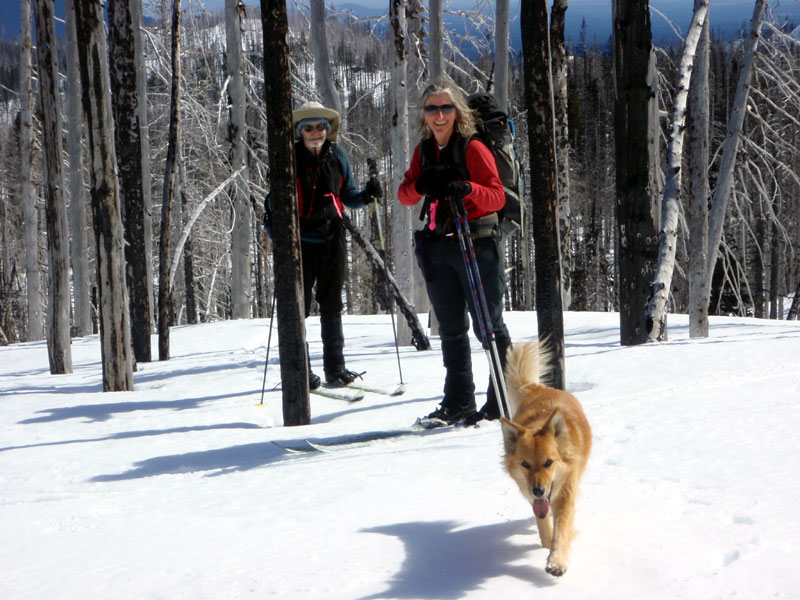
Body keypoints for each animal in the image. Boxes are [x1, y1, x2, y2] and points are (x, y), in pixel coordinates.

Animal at [504, 342, 592, 576]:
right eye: (525, 464)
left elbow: (561, 530)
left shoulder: (566, 493)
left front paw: (556, 561)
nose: (538, 490)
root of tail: (538, 388)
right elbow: (543, 524)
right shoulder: (533, 496)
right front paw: (546, 544)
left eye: (549, 463)